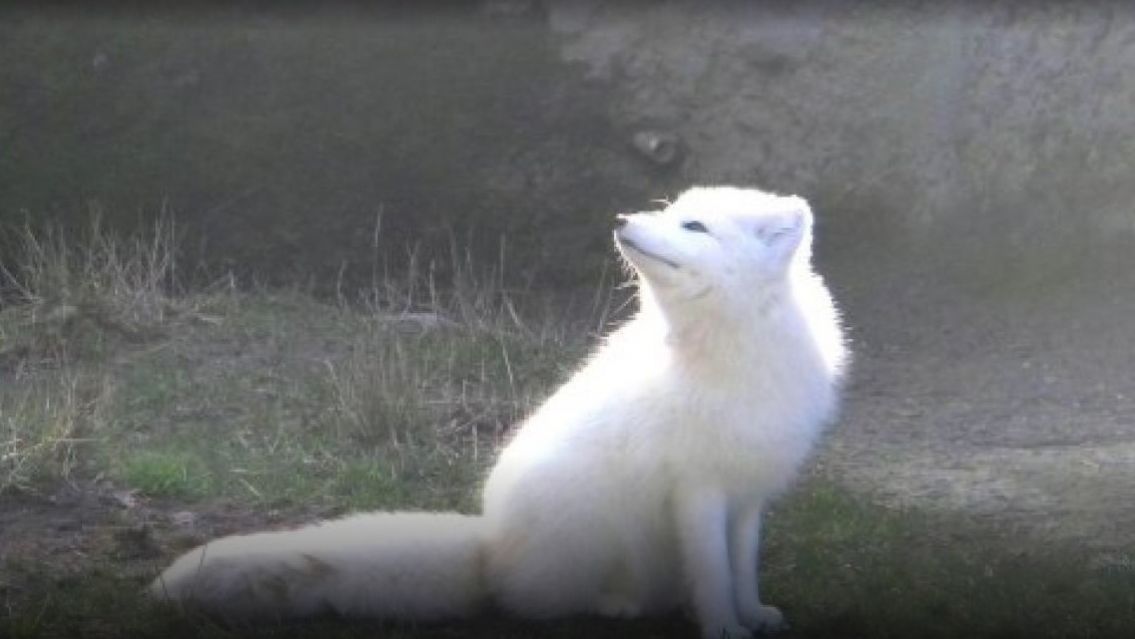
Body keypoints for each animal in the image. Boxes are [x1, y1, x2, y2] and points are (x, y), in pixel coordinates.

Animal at [150, 185, 848, 639]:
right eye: (672, 213)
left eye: (695, 227)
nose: (623, 217)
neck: (735, 355)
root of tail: (492, 544)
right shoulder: (697, 490)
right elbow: (712, 572)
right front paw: (724, 626)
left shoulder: (748, 492)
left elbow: (742, 565)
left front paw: (753, 615)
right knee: (537, 604)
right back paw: (615, 604)